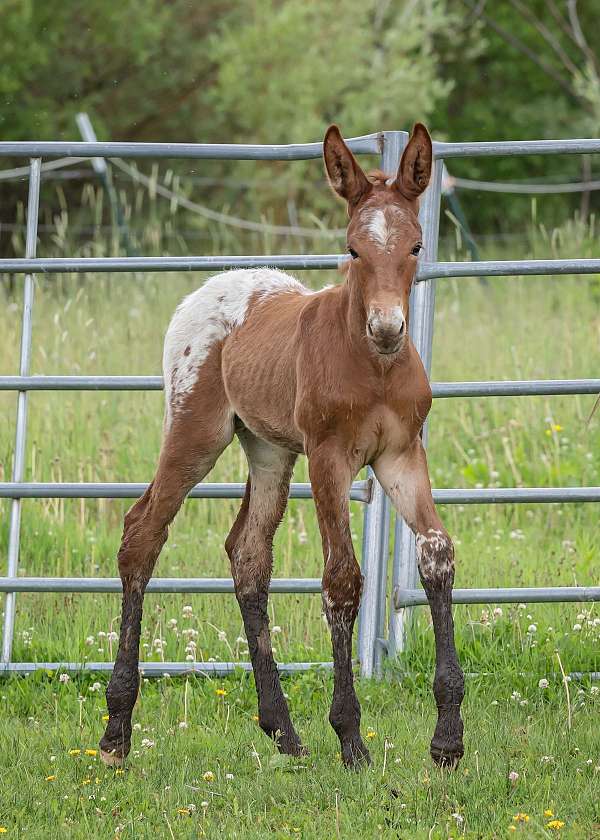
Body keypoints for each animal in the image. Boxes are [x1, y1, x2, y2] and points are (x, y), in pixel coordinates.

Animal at [99, 121, 464, 772]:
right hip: (196, 434)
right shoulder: (328, 459)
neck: (374, 366)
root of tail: (214, 285)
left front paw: (448, 737)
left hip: (269, 452)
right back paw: (117, 730)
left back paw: (283, 730)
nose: (389, 328)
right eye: (353, 249)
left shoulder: (400, 456)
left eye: (417, 247)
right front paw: (351, 738)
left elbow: (436, 556)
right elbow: (342, 580)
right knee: (143, 533)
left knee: (248, 556)